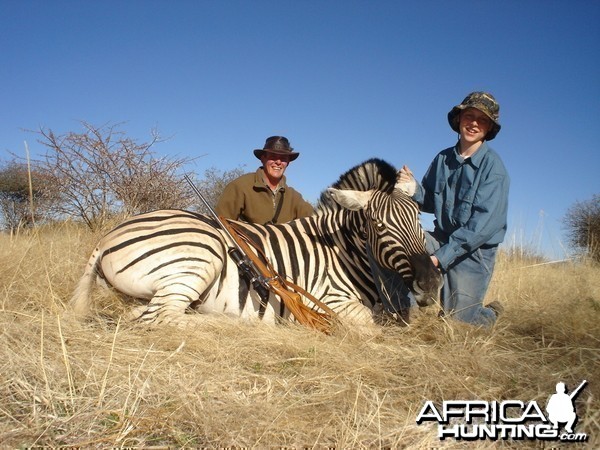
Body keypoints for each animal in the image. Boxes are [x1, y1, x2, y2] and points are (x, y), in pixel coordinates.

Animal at [72, 158, 442, 326]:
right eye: (378, 225)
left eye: (418, 219)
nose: (430, 283)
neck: (343, 254)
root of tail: (107, 237)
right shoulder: (330, 299)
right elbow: (369, 325)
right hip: (199, 259)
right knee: (163, 317)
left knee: (142, 313)